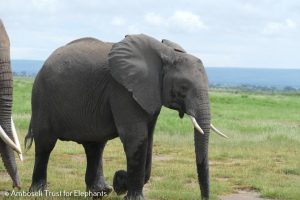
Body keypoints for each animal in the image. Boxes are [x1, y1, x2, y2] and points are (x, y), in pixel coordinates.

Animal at [25, 33, 226, 199]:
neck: (166, 54)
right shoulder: (123, 90)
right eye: (183, 87)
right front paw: (127, 190)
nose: (204, 198)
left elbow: (148, 138)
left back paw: (101, 192)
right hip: (42, 97)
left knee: (95, 146)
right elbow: (136, 137)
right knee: (45, 144)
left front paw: (120, 183)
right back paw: (38, 193)